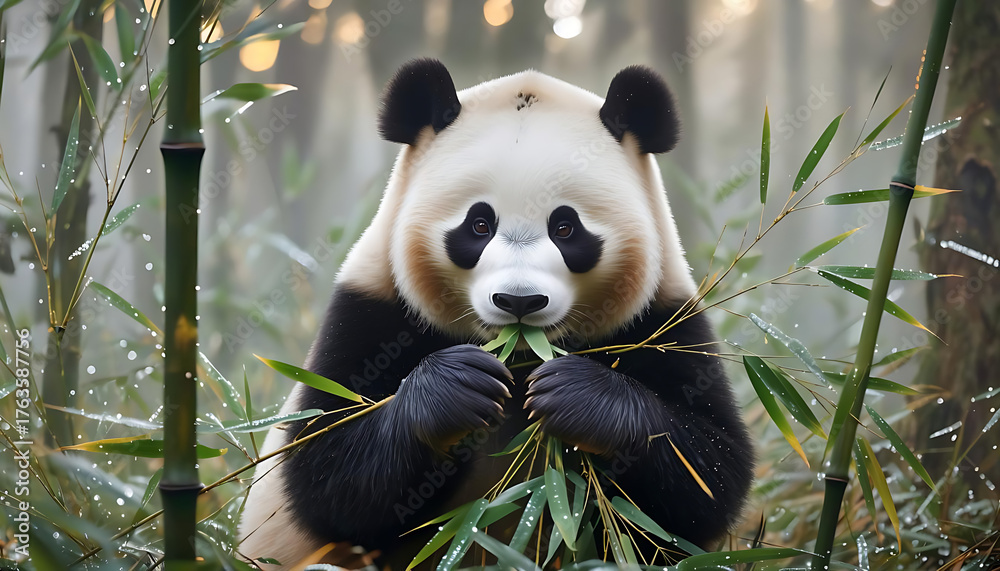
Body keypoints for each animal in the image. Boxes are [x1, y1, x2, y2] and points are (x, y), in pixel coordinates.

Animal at [238, 59, 753, 569]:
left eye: (566, 228)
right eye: (479, 224)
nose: (519, 302)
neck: (521, 358)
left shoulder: (665, 320)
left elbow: (706, 480)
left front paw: (577, 394)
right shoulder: (371, 311)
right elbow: (325, 471)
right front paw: (457, 386)